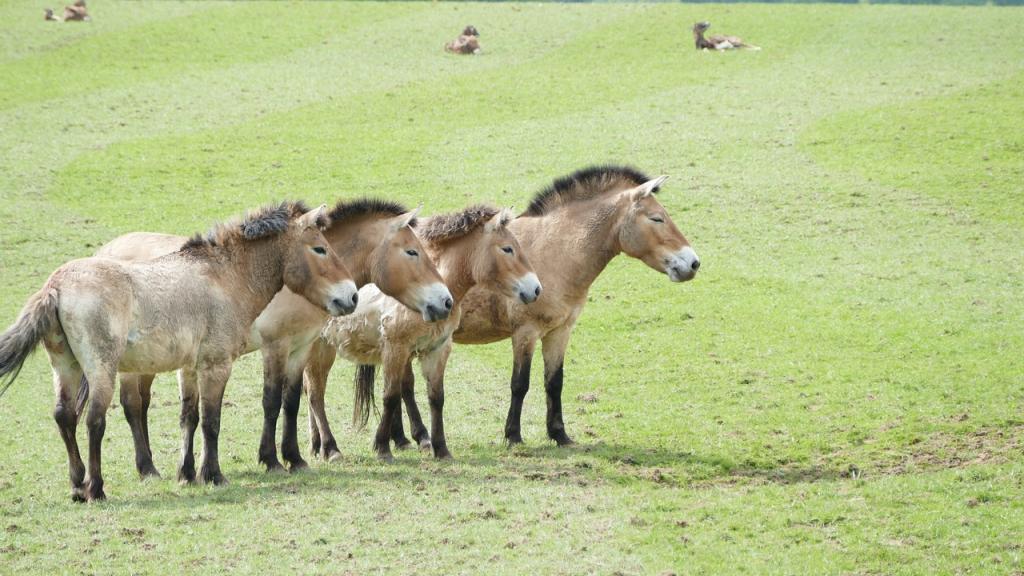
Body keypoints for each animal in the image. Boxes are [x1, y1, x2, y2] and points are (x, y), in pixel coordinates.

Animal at [0, 200, 356, 498]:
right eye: (320, 249)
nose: (351, 296)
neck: (224, 278)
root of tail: (56, 286)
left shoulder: (193, 366)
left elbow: (191, 417)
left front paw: (189, 474)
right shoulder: (218, 364)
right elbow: (212, 420)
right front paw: (214, 474)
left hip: (66, 367)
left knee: (65, 416)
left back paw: (77, 486)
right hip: (103, 370)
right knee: (95, 420)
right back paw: (97, 488)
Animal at [94, 199, 454, 473]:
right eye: (412, 252)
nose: (445, 301)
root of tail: (104, 251)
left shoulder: (301, 346)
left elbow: (292, 401)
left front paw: (294, 457)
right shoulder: (275, 346)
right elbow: (271, 401)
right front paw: (271, 459)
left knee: (142, 405)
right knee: (132, 404)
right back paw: (147, 468)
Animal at [313, 203, 544, 459]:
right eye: (507, 249)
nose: (536, 290)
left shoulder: (437, 349)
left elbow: (436, 398)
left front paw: (440, 448)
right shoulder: (396, 349)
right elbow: (391, 396)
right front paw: (383, 446)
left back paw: (317, 445)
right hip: (319, 349)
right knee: (315, 395)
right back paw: (331, 448)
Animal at [366, 163, 696, 446]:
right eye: (656, 218)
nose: (693, 263)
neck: (555, 252)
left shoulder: (560, 331)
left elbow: (554, 381)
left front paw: (559, 434)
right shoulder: (525, 333)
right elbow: (520, 384)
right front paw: (513, 435)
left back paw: (401, 437)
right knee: (403, 386)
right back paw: (416, 436)